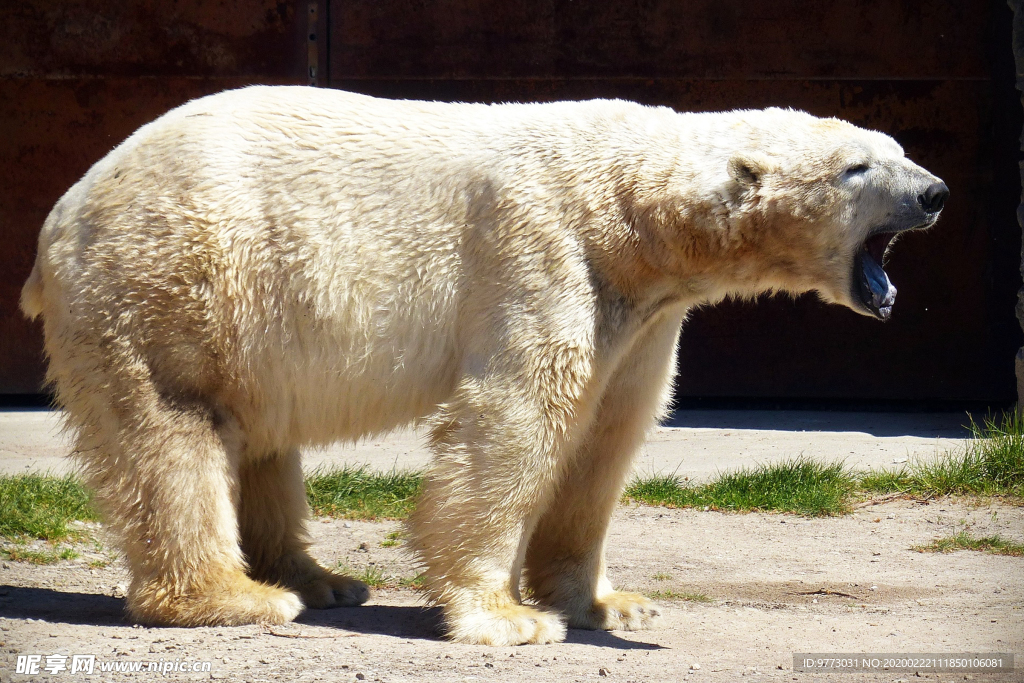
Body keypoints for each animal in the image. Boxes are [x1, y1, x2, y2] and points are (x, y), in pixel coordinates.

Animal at [19, 87, 942, 647]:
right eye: (857, 167)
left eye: (893, 146)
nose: (934, 191)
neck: (630, 209)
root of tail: (64, 211)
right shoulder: (540, 252)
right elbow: (517, 418)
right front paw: (506, 616)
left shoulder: (643, 314)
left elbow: (607, 436)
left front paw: (608, 601)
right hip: (173, 283)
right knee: (175, 430)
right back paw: (235, 595)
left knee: (261, 439)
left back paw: (322, 578)